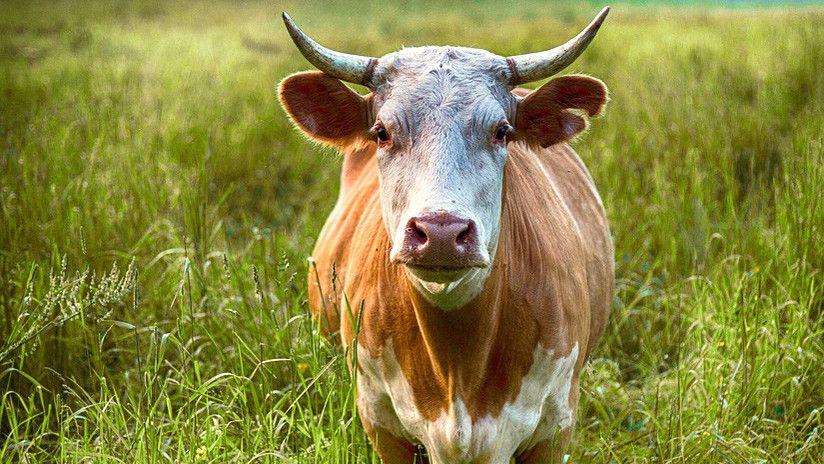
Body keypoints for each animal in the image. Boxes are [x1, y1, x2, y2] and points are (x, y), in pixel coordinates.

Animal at [278, 7, 614, 463]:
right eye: (382, 132)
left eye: (502, 131)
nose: (440, 231)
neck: (458, 368)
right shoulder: (379, 419)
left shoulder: (556, 424)